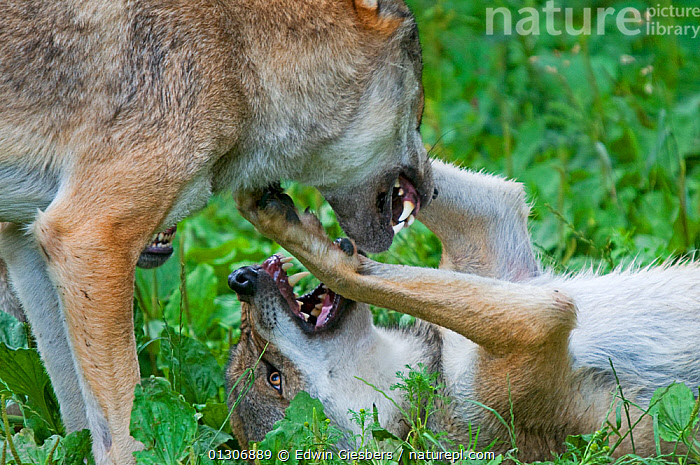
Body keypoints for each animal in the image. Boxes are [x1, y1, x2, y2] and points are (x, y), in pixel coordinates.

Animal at [0, 0, 433, 462]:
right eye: (420, 111)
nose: (433, 189)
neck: (238, 55)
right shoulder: (89, 237)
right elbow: (121, 433)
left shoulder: (27, 241)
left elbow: (77, 419)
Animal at [227, 160, 700, 460]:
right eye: (274, 378)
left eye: (246, 345)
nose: (239, 280)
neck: (436, 378)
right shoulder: (540, 320)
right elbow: (348, 273)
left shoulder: (494, 224)